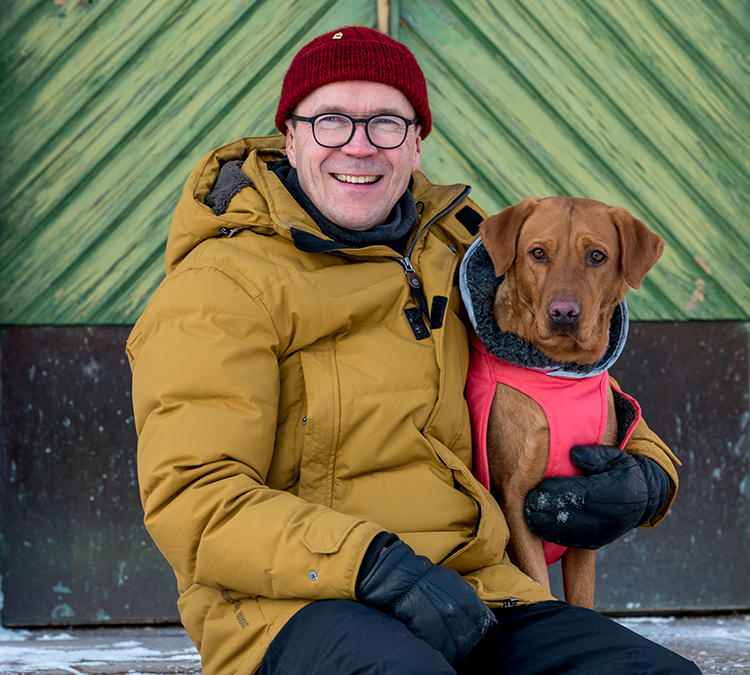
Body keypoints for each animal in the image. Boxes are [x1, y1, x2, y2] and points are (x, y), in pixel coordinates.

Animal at [476, 195, 664, 608]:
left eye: (596, 256)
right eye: (537, 253)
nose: (563, 313)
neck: (560, 376)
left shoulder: (587, 512)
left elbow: (582, 596)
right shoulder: (515, 497)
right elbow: (538, 585)